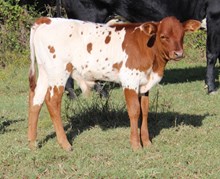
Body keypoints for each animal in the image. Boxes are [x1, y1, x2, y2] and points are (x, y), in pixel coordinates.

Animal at [28, 16, 200, 151]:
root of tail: (47, 19)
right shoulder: (130, 81)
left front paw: (147, 142)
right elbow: (134, 111)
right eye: (163, 36)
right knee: (52, 102)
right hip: (58, 72)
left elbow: (145, 111)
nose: (178, 53)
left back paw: (33, 142)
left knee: (36, 100)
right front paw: (136, 145)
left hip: (45, 72)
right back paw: (65, 144)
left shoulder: (144, 84)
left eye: (182, 34)